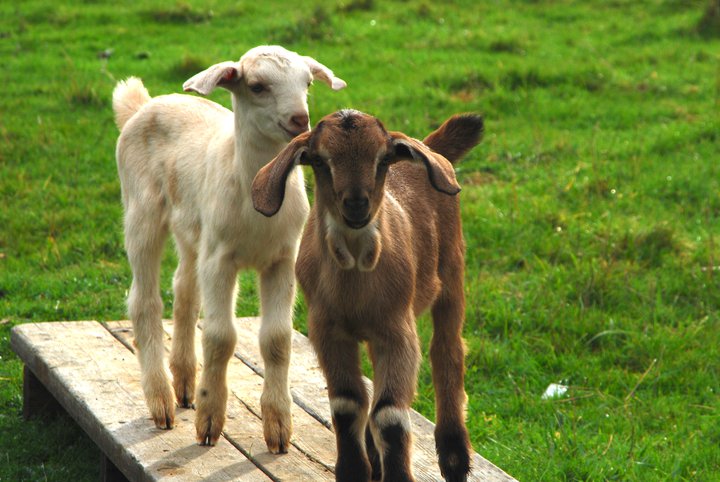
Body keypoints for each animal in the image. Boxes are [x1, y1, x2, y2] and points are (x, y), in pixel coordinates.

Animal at [112, 45, 346, 451]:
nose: (300, 119)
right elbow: (221, 337)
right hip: (142, 211)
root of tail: (144, 104)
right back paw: (161, 402)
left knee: (184, 289)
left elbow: (277, 338)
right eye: (257, 86)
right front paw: (209, 421)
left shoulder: (282, 259)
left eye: (307, 83)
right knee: (145, 300)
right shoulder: (220, 259)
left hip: (193, 230)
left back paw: (185, 384)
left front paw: (278, 428)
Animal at [252, 110, 484, 481]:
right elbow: (348, 403)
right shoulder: (327, 329)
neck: (355, 289)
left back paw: (454, 458)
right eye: (320, 160)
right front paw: (353, 469)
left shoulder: (398, 330)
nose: (357, 203)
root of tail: (429, 147)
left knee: (447, 350)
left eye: (382, 158)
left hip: (452, 270)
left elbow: (389, 414)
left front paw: (398, 474)